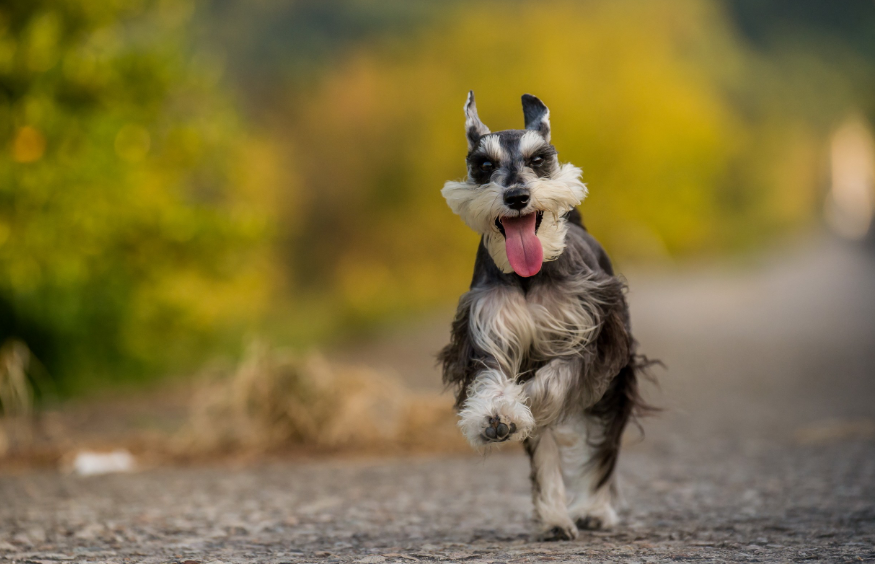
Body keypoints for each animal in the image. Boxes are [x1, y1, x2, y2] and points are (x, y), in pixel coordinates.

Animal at [442, 92, 652, 540]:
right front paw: (496, 414)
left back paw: (593, 508)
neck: (529, 276)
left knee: (604, 444)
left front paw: (521, 405)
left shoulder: (591, 341)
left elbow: (554, 384)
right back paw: (555, 517)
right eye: (483, 164)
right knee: (546, 450)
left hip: (617, 381)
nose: (518, 196)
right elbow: (495, 383)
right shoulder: (489, 335)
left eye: (538, 159)